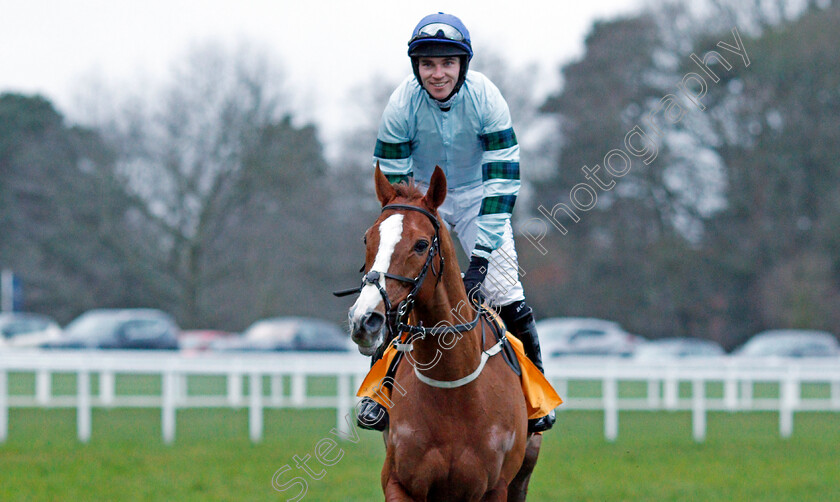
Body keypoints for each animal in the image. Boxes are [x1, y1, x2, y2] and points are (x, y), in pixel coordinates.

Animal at [346, 167, 540, 500]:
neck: (453, 387)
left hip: (523, 474)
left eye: (421, 244)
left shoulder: (495, 488)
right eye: (367, 238)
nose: (365, 320)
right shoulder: (399, 483)